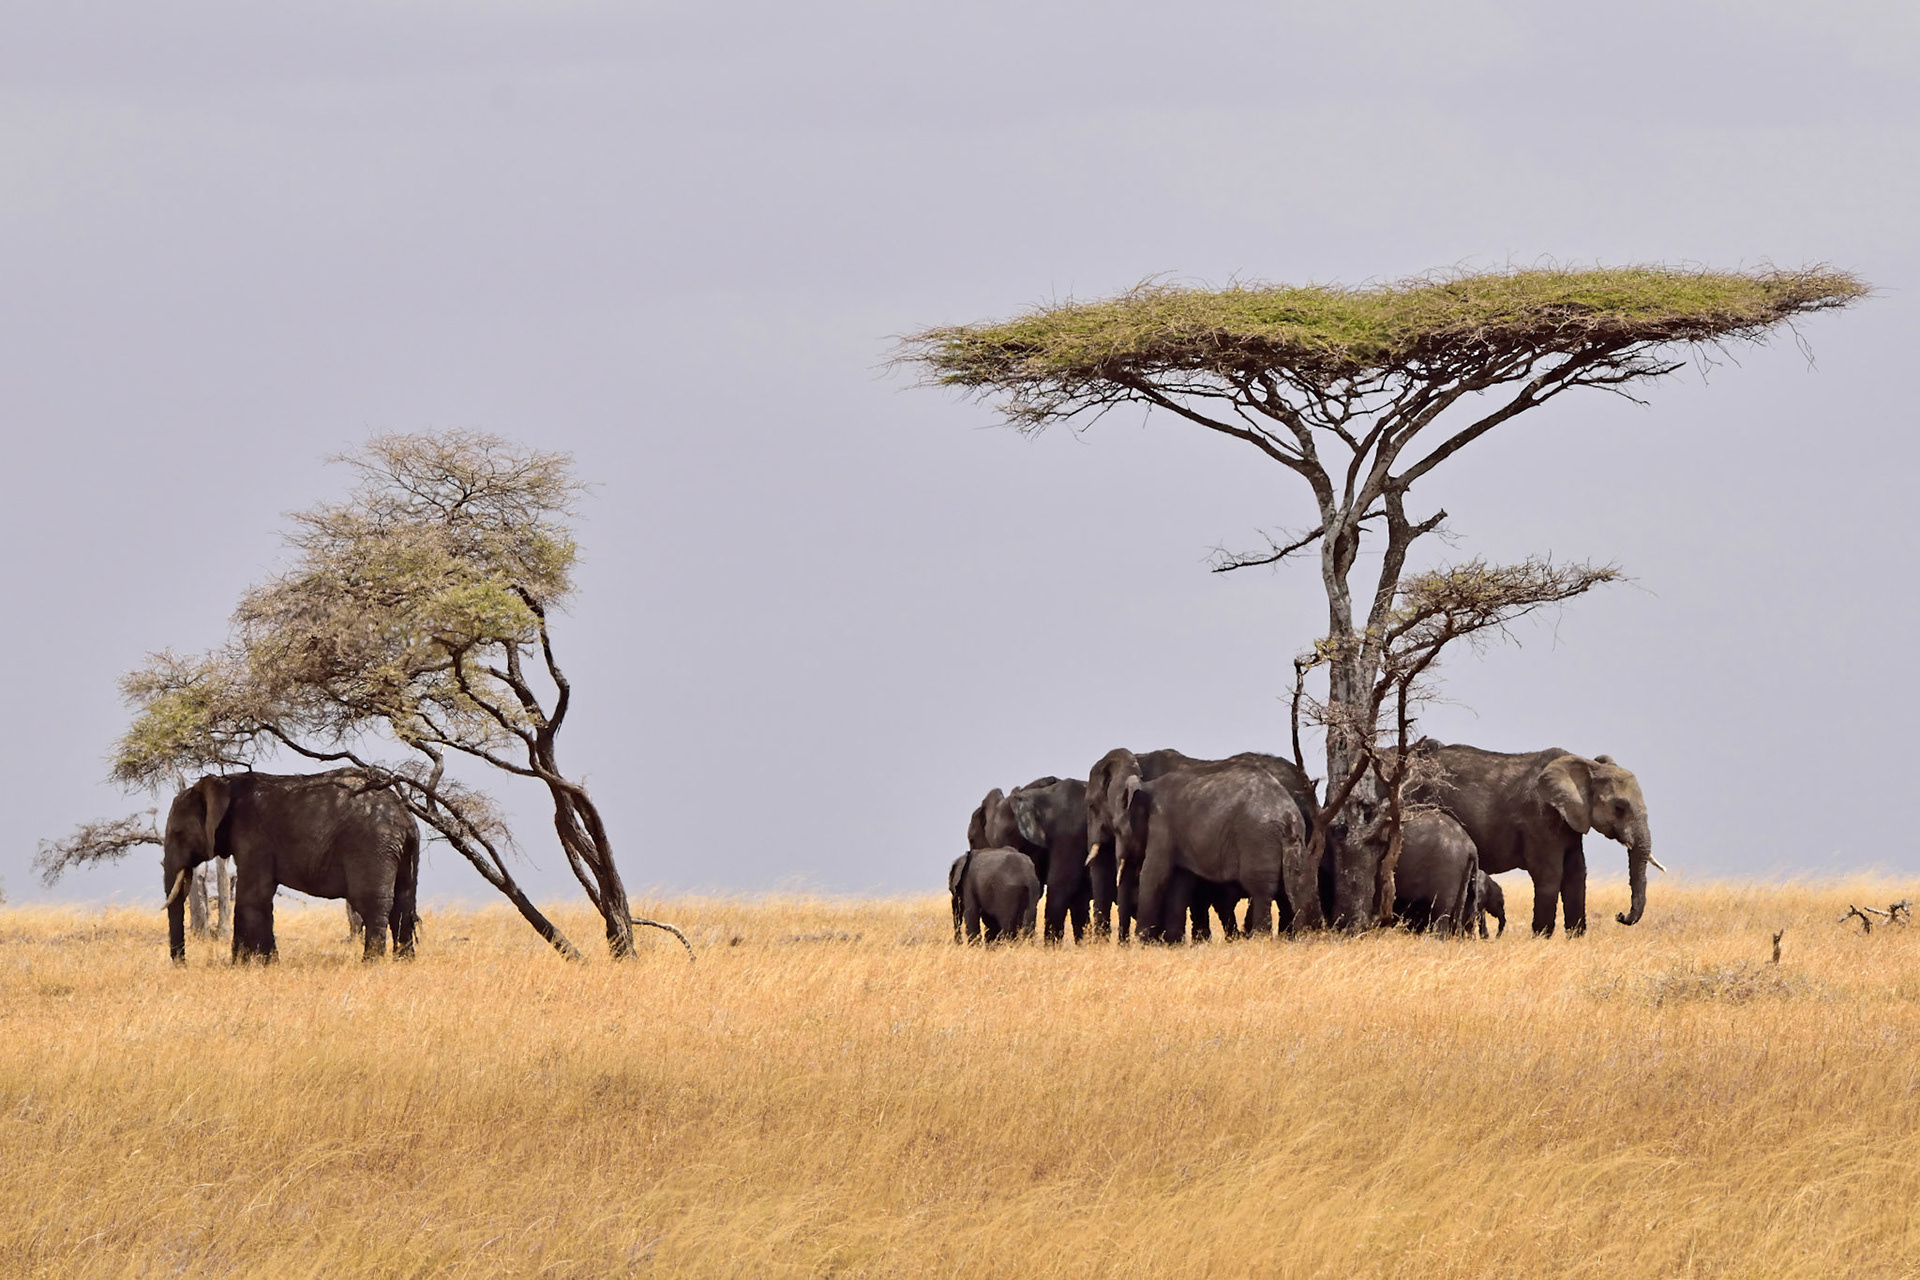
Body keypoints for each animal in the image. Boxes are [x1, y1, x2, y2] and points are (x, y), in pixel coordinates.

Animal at [162, 770, 420, 963]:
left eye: (178, 833)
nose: (182, 965)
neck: (225, 784)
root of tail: (406, 818)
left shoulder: (252, 835)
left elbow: (253, 895)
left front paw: (242, 965)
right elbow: (262, 897)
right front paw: (268, 964)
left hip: (372, 845)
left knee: (371, 903)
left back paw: (371, 963)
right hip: (396, 851)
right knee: (402, 903)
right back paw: (403, 962)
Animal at [1087, 748, 1318, 940]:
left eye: (1091, 806)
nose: (1122, 943)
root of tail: (1287, 813)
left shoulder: (1162, 826)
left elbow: (1154, 875)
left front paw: (1143, 942)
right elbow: (1179, 880)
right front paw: (1171, 943)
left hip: (1257, 839)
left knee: (1261, 890)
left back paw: (1259, 939)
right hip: (1294, 841)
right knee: (1295, 886)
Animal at [1408, 740, 1657, 937]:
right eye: (1619, 807)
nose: (1620, 915)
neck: (1586, 765)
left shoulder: (1571, 821)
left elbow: (1576, 874)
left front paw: (1575, 939)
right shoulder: (1540, 817)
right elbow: (1550, 875)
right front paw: (1541, 939)